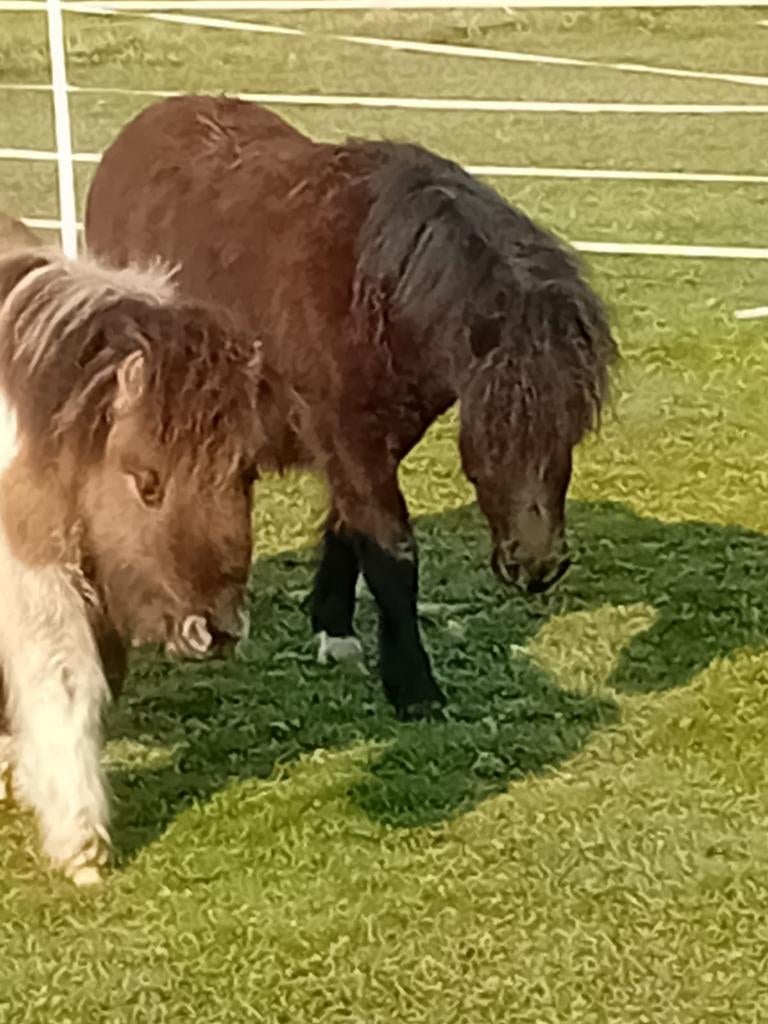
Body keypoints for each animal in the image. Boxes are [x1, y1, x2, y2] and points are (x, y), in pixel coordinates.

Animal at [0, 244, 273, 884]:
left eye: (248, 471)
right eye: (147, 481)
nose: (216, 630)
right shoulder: (35, 583)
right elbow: (64, 682)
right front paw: (81, 847)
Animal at [85, 94, 619, 722]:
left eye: (573, 429)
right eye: (491, 432)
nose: (537, 567)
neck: (373, 292)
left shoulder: (371, 440)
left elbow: (349, 525)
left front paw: (333, 628)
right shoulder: (348, 436)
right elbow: (393, 555)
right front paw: (414, 686)